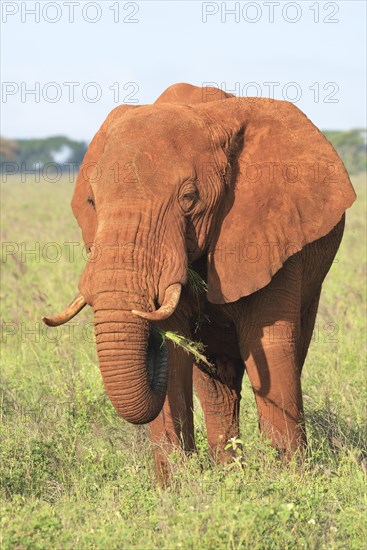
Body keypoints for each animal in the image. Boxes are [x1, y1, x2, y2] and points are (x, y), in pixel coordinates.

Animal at [42, 82, 356, 484]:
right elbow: (178, 360)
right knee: (216, 381)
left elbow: (269, 345)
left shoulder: (274, 232)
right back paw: (228, 473)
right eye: (92, 202)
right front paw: (177, 489)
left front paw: (290, 483)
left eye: (189, 199)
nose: (152, 335)